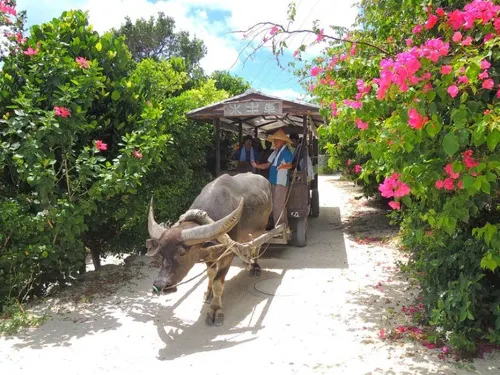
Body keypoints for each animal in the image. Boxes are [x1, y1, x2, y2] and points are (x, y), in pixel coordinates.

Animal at [146, 173, 278, 326]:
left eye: (182, 253)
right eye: (161, 253)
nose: (160, 285)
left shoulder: (227, 255)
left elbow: (218, 283)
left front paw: (215, 310)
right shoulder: (208, 255)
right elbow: (210, 274)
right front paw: (208, 293)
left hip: (261, 228)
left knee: (256, 247)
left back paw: (255, 267)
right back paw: (247, 262)